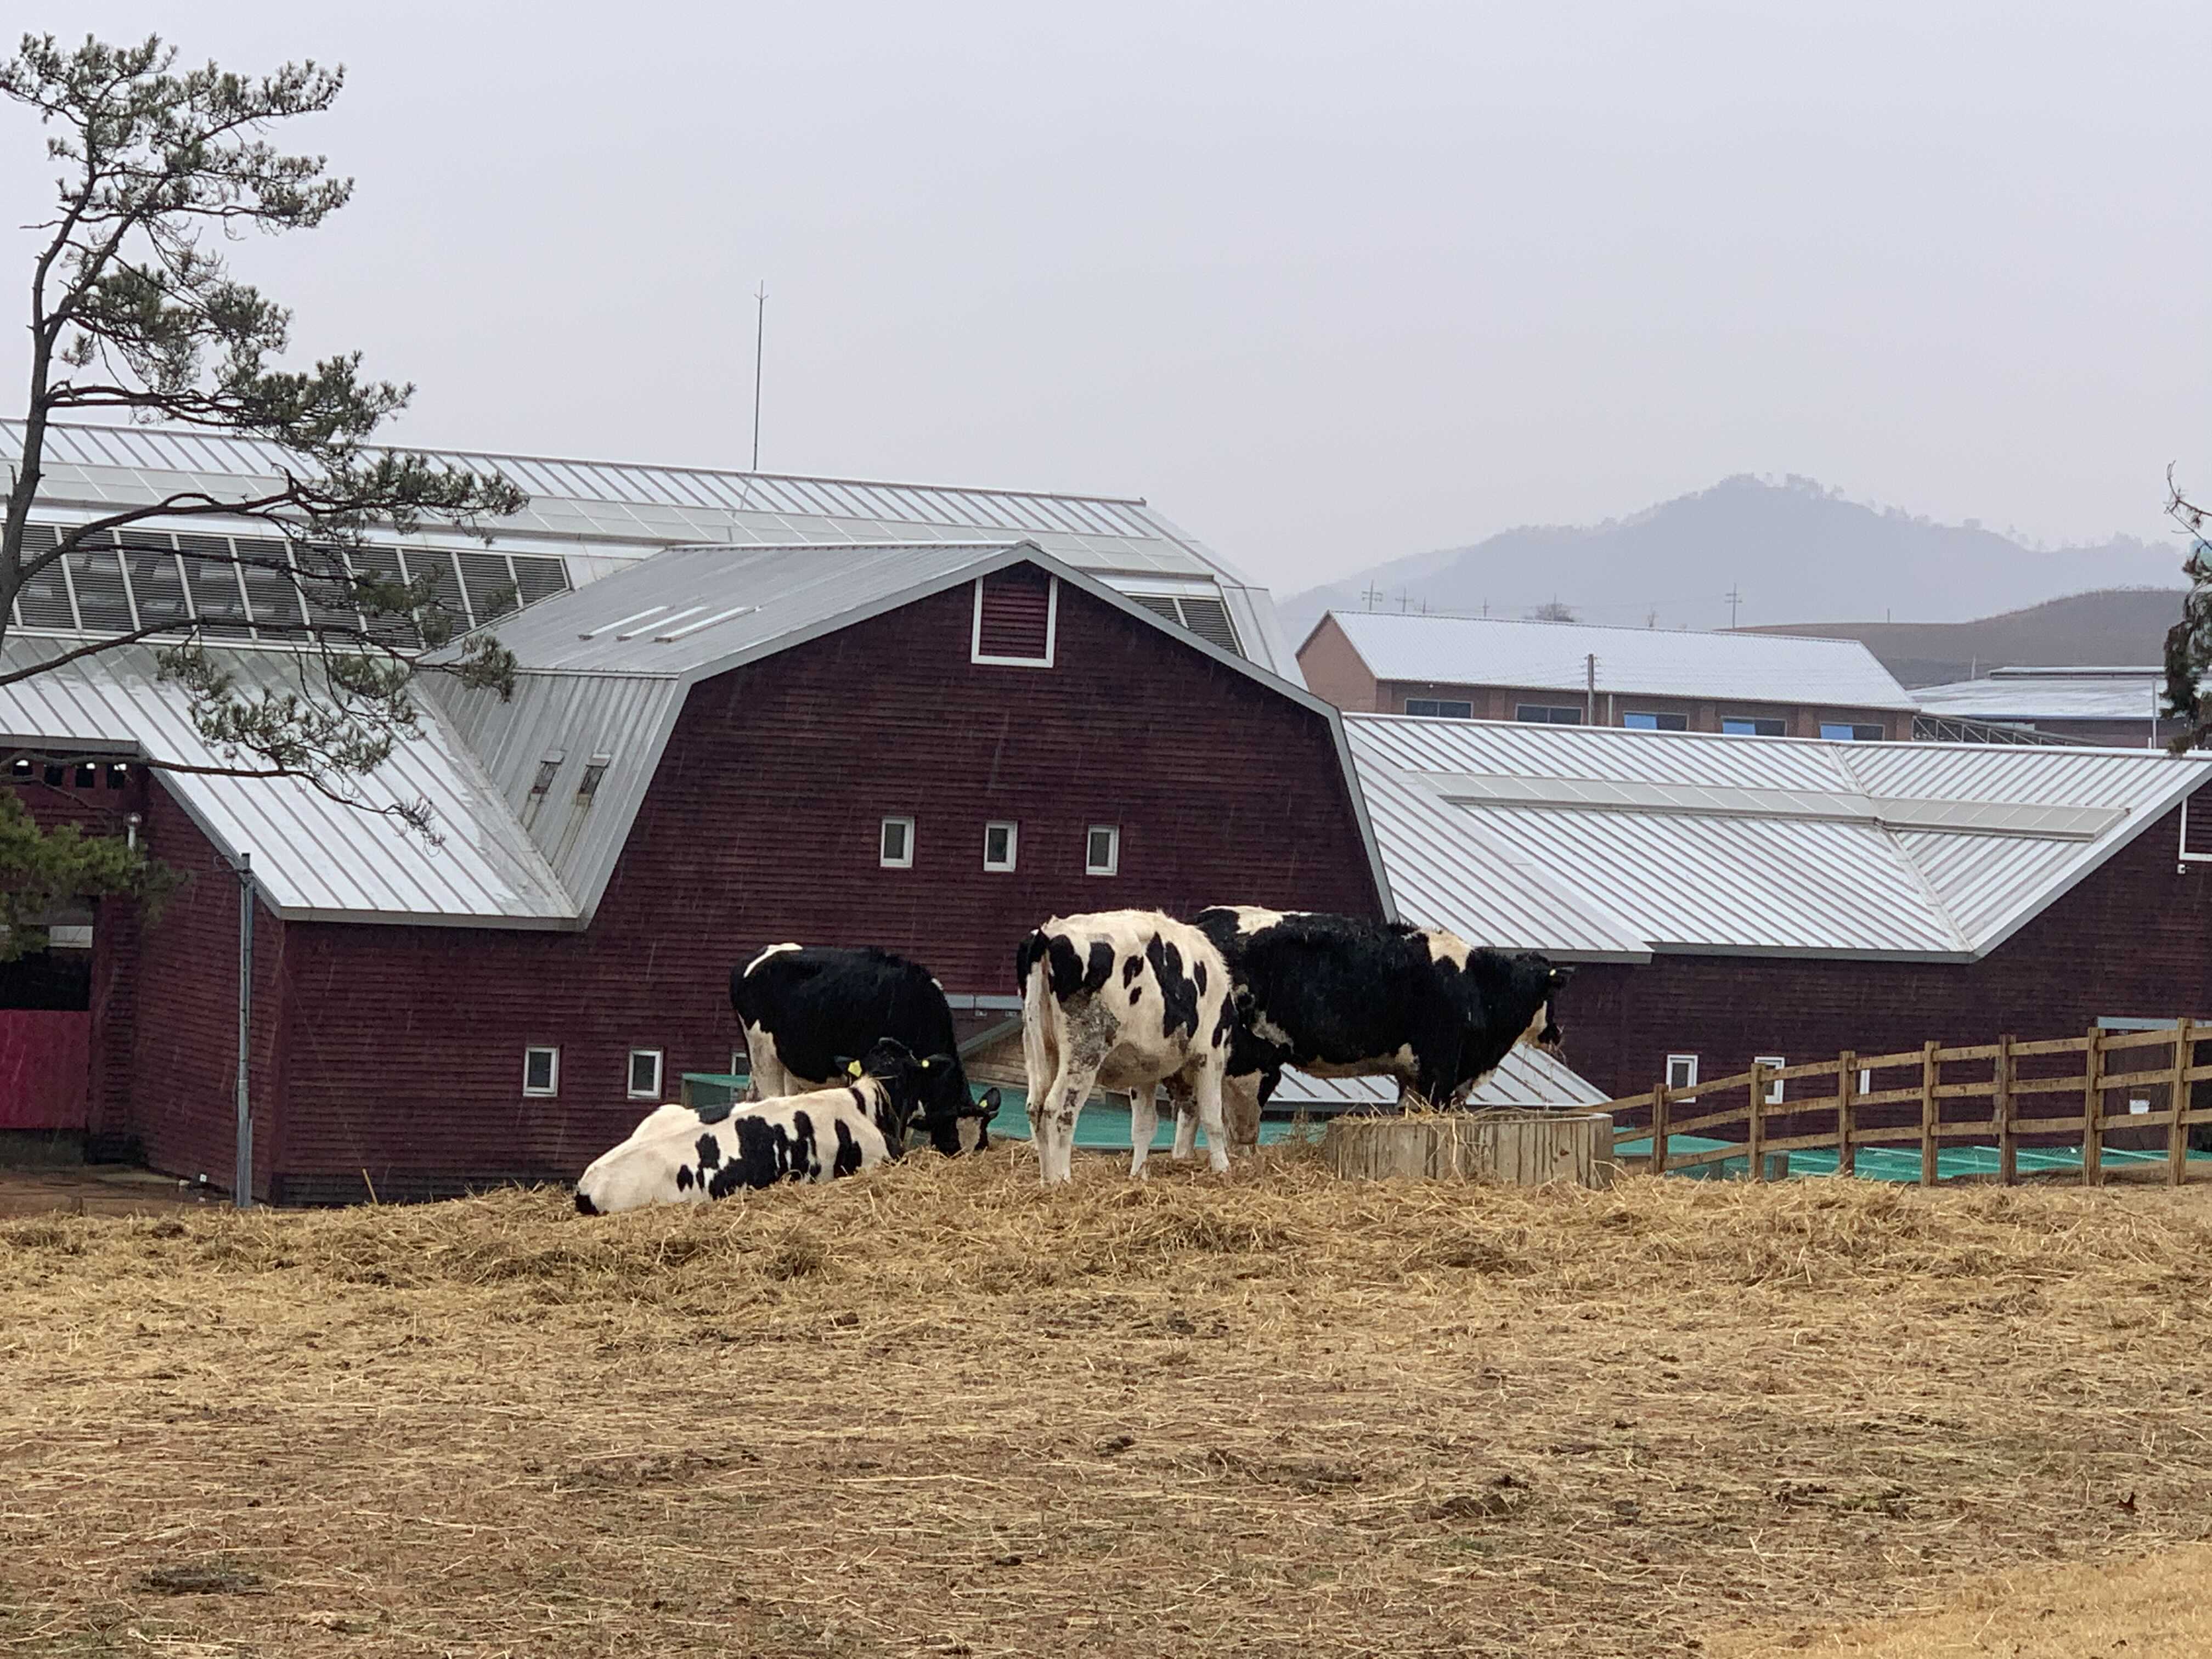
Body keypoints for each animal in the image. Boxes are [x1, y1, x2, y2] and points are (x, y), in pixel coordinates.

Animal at [1014, 910, 1238, 1184]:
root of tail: (1049, 933)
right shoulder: (1210, 1053)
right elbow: (1213, 1117)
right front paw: (1223, 1168)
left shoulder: (1145, 1069)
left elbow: (1144, 1125)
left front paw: (1139, 1174)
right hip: (1083, 1052)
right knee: (1058, 1110)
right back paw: (1063, 1180)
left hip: (1037, 1048)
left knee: (1035, 1107)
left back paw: (1047, 1180)